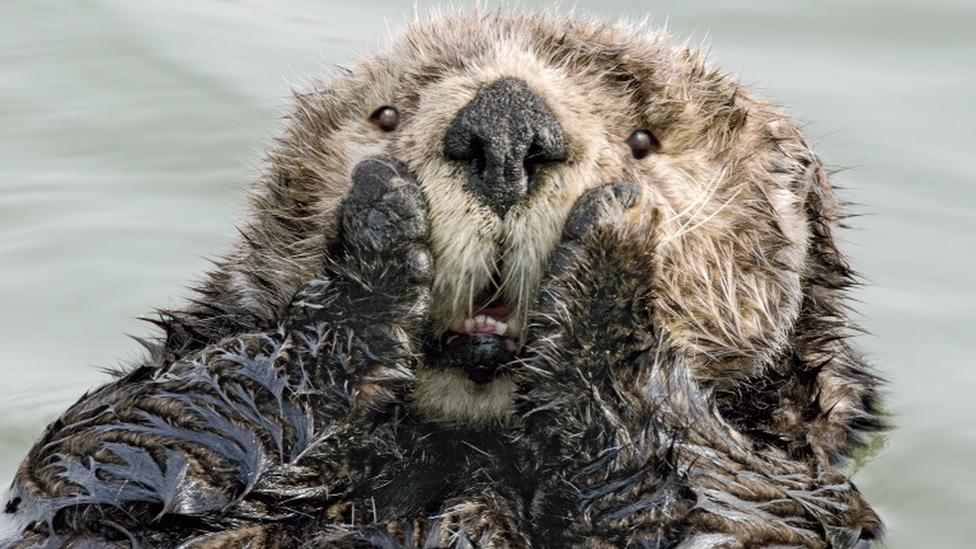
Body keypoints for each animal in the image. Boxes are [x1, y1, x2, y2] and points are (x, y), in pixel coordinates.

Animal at [0, 9, 884, 548]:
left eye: (644, 140)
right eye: (387, 115)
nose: (505, 125)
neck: (466, 451)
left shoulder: (796, 493)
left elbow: (718, 504)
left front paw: (612, 254)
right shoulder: (95, 473)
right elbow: (108, 450)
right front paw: (377, 234)